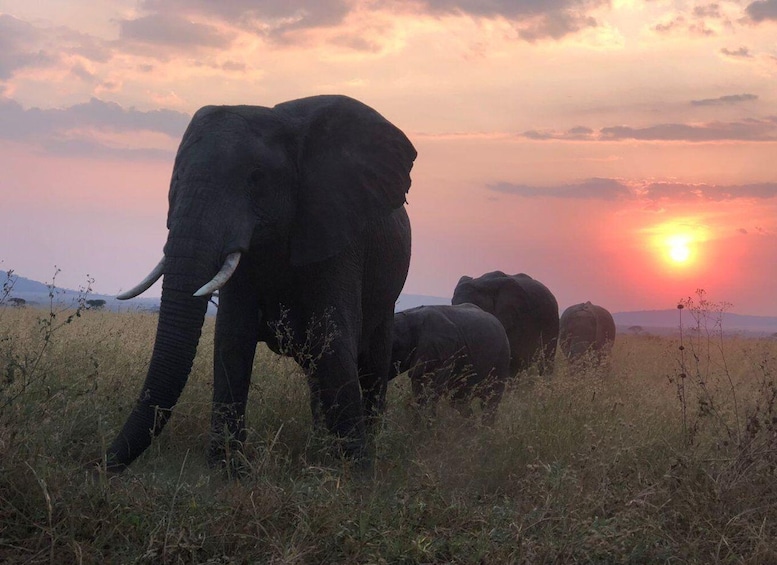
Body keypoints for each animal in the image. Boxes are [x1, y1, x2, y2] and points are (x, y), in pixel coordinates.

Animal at [106, 95, 416, 472]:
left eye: (256, 179)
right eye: (175, 178)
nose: (99, 463)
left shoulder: (337, 233)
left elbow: (333, 338)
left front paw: (355, 472)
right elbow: (232, 338)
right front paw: (227, 470)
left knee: (371, 363)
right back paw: (320, 445)